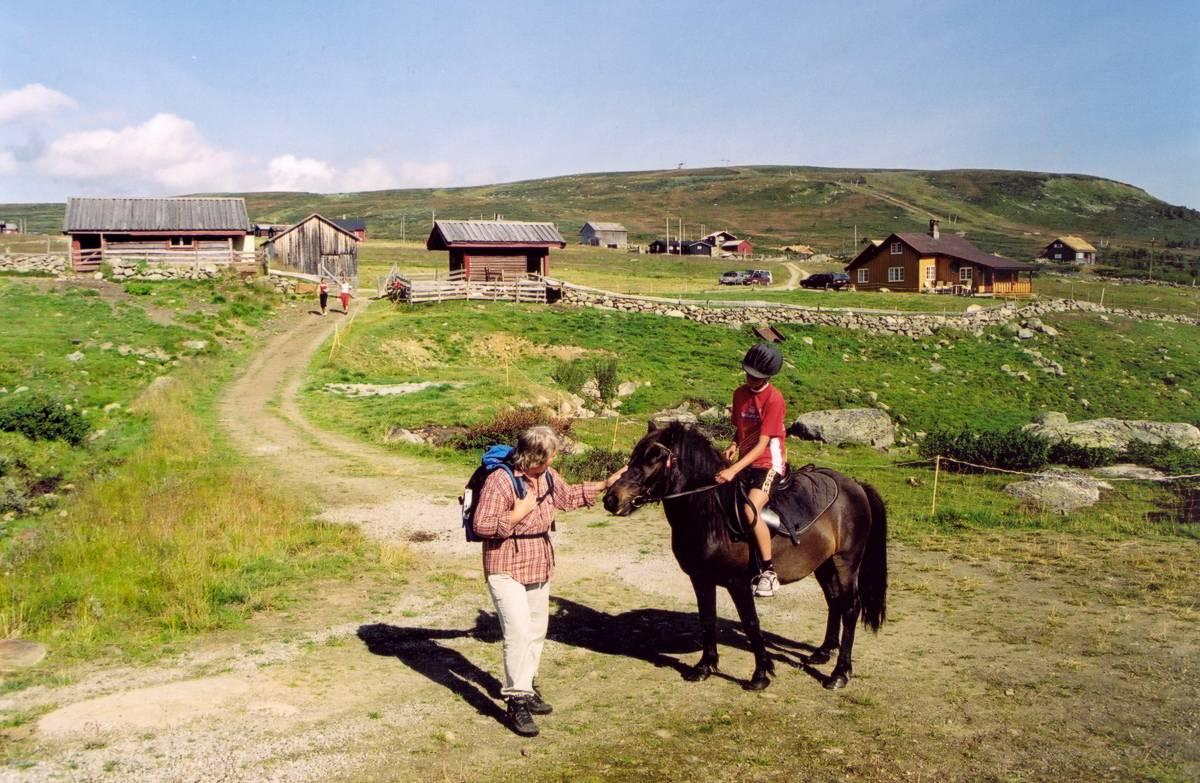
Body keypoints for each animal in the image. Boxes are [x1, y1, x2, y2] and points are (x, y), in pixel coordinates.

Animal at [604, 422, 888, 691]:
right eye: (635, 455)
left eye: (654, 458)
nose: (611, 498)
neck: (712, 515)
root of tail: (856, 485)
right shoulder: (701, 579)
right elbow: (707, 618)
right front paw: (704, 667)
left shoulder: (738, 583)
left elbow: (750, 622)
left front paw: (760, 674)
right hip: (824, 565)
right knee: (834, 602)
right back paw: (823, 652)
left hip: (845, 563)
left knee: (850, 609)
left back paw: (839, 674)